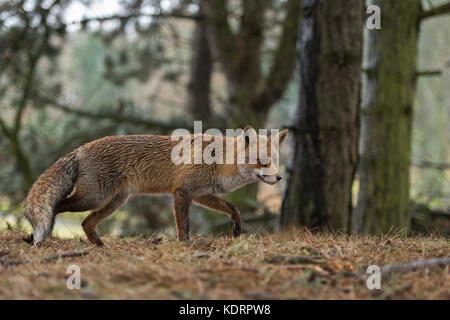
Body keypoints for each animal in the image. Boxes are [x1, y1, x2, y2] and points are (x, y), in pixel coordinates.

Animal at [23, 125, 288, 245]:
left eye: (275, 161)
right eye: (262, 162)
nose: (279, 178)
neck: (218, 162)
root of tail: (80, 149)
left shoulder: (202, 194)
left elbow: (234, 209)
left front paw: (237, 227)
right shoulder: (182, 192)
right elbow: (184, 226)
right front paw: (185, 245)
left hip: (114, 202)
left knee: (86, 223)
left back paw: (99, 245)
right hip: (92, 198)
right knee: (56, 207)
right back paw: (40, 236)